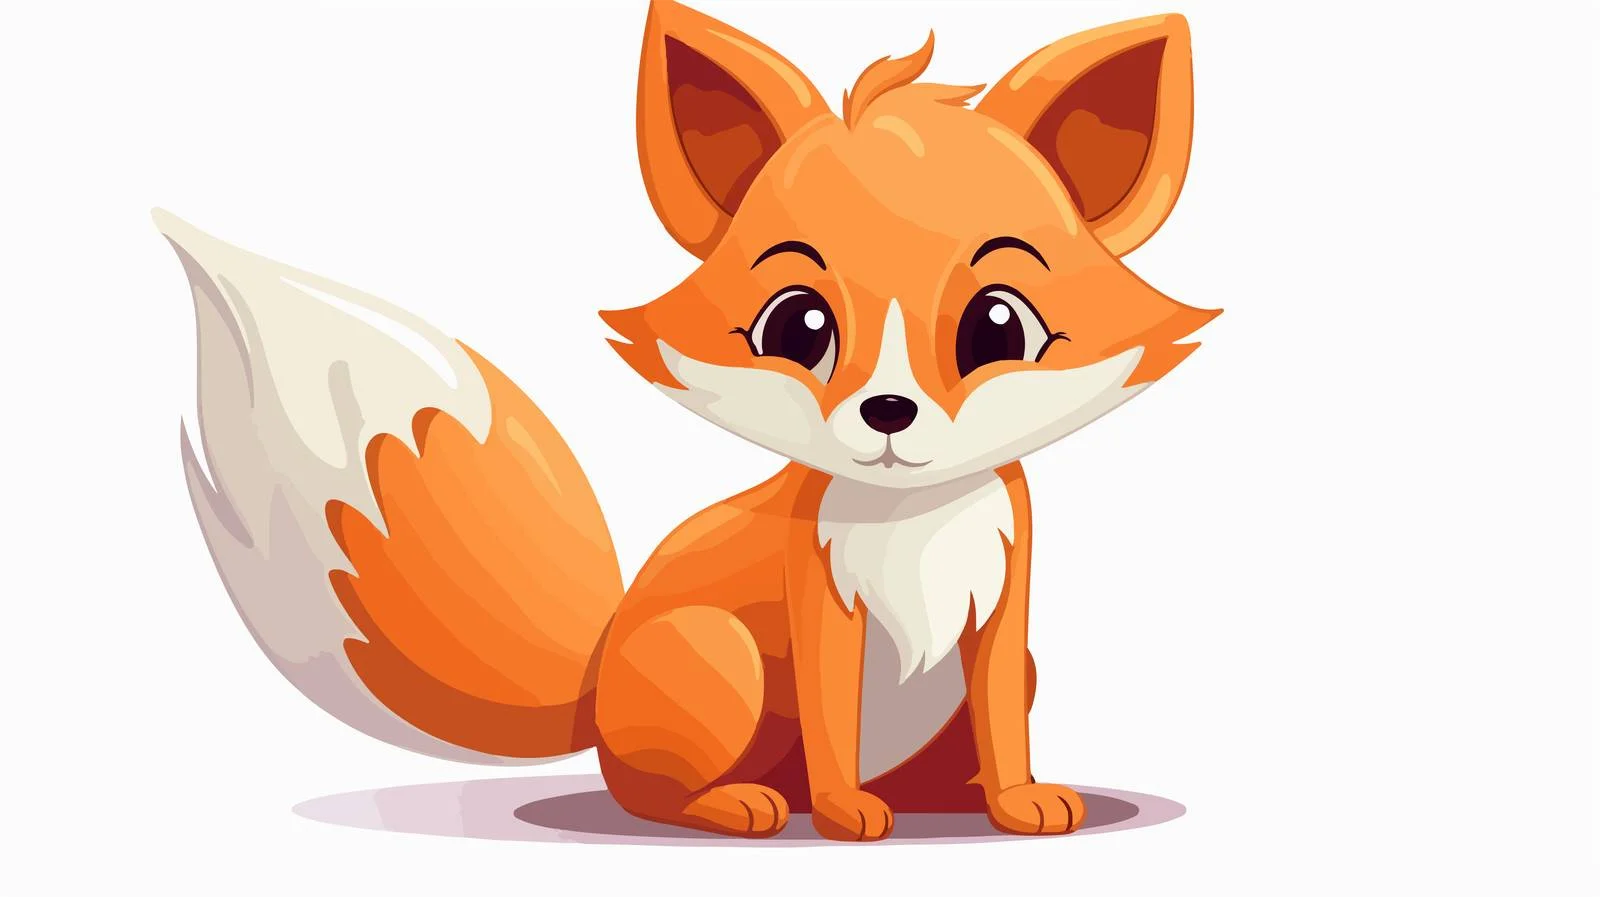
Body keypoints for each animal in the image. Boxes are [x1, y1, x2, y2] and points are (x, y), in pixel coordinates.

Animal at [167, 0, 1217, 841]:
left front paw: (1016, 799)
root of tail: (596, 684)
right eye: (798, 326)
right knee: (645, 791)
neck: (910, 521)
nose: (888, 408)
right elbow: (833, 718)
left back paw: (937, 798)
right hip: (715, 655)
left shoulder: (1004, 605)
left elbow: (1002, 716)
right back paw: (741, 804)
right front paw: (844, 813)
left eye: (999, 327)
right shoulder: (821, 602)